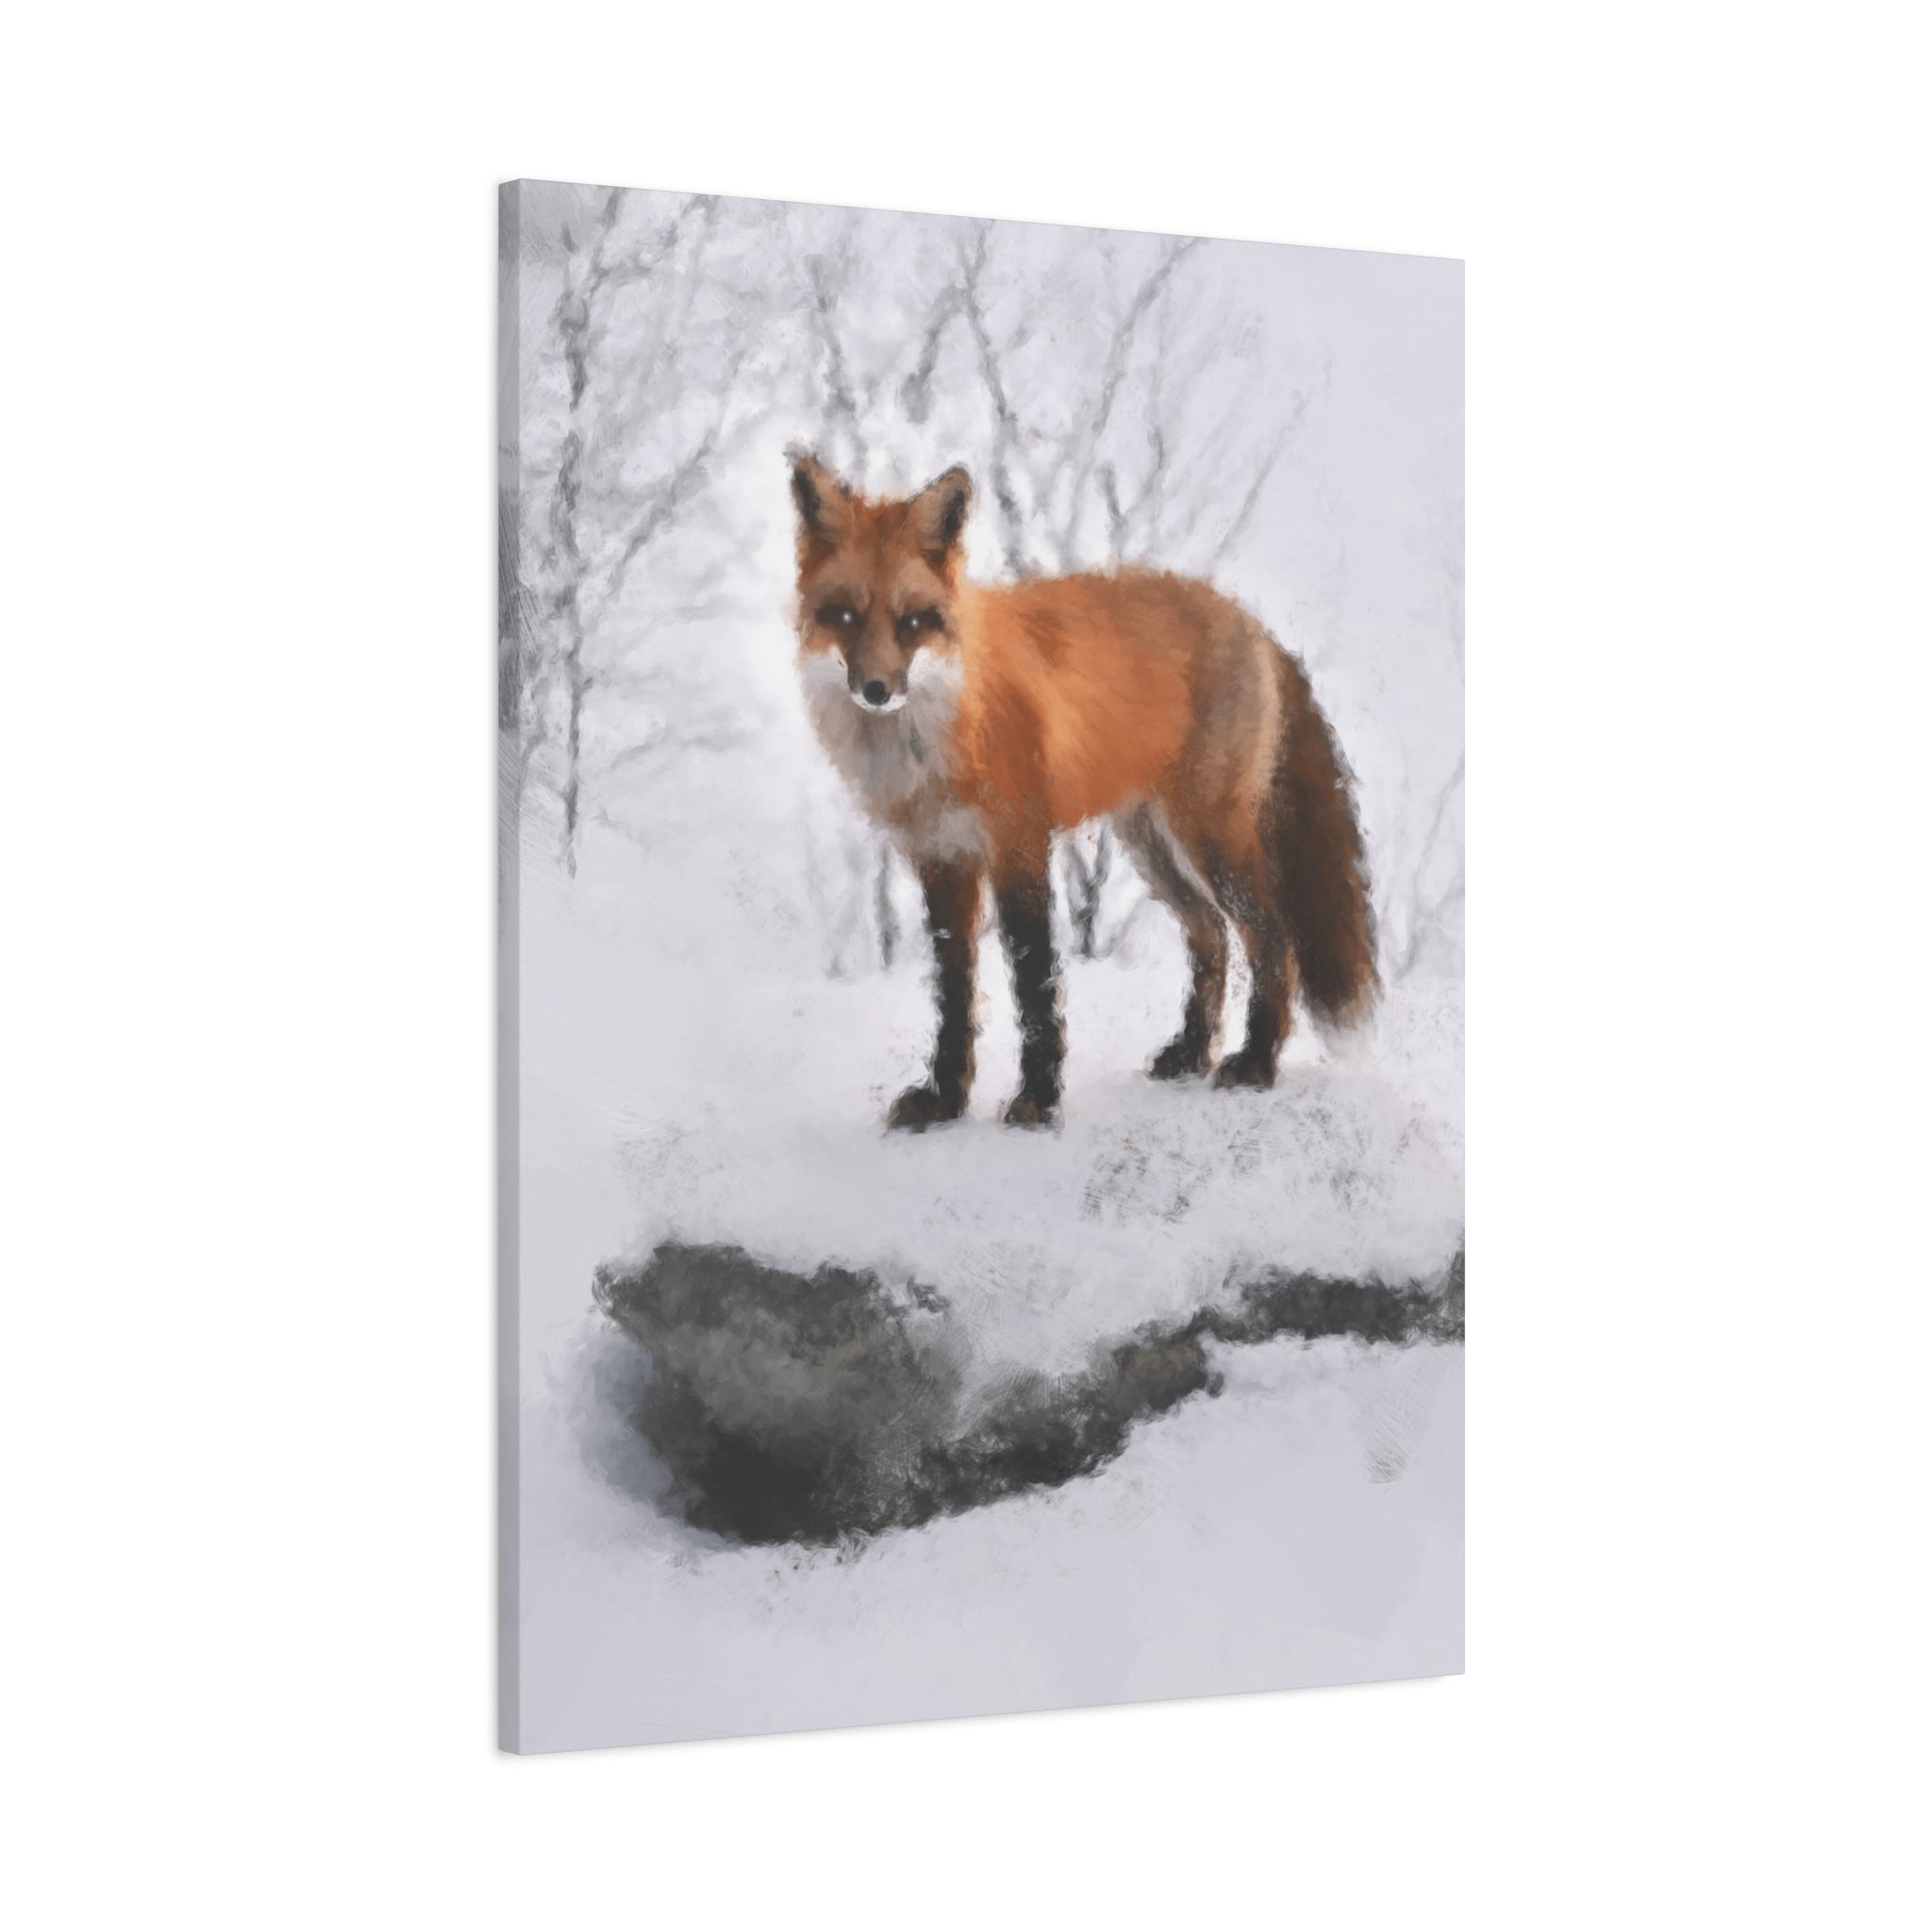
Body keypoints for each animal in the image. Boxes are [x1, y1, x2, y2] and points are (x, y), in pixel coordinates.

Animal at [789, 449, 1378, 1131]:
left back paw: (1256, 1062)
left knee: (1271, 938)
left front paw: (1037, 1099)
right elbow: (954, 993)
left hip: (1210, 839)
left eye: (912, 622)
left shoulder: (1018, 844)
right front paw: (944, 1100)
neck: (940, 731)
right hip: (1153, 847)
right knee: (1210, 937)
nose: (877, 690)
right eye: (846, 616)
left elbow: (1033, 980)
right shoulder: (942, 859)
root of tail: (1250, 619)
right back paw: (1191, 1053)